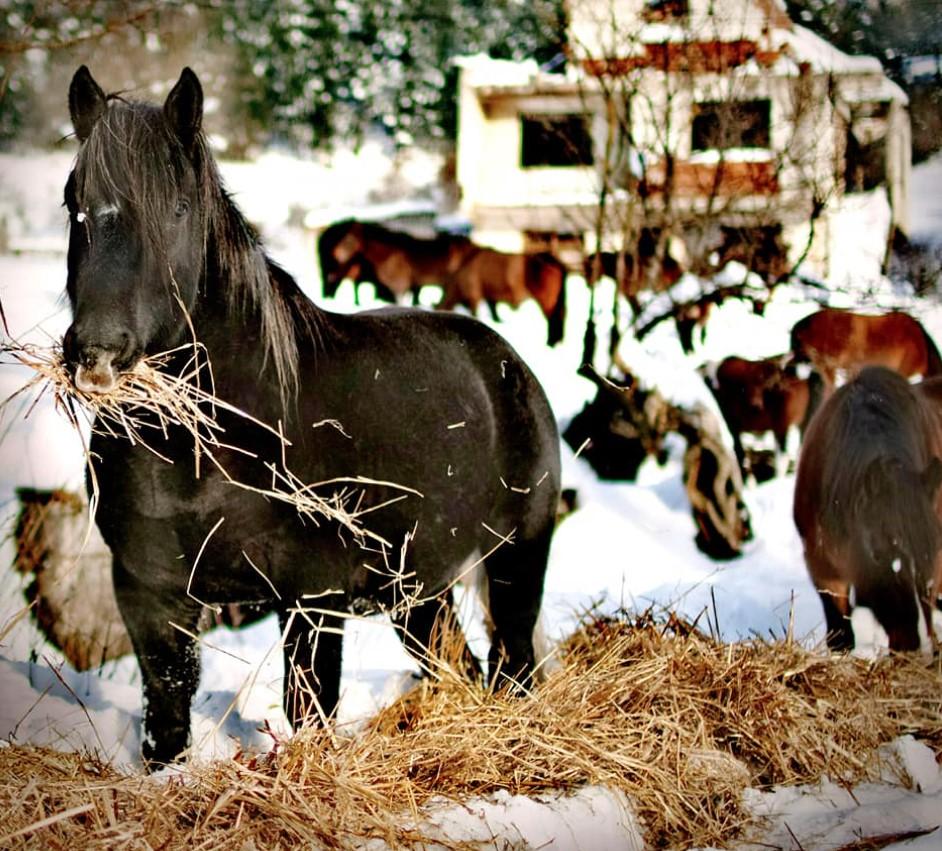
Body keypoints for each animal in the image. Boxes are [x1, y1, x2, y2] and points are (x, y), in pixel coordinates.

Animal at [440, 246, 568, 346]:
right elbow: (494, 312)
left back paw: (550, 342)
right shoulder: (490, 296)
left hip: (547, 301)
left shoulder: (474, 295)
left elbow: (476, 313)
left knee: (553, 318)